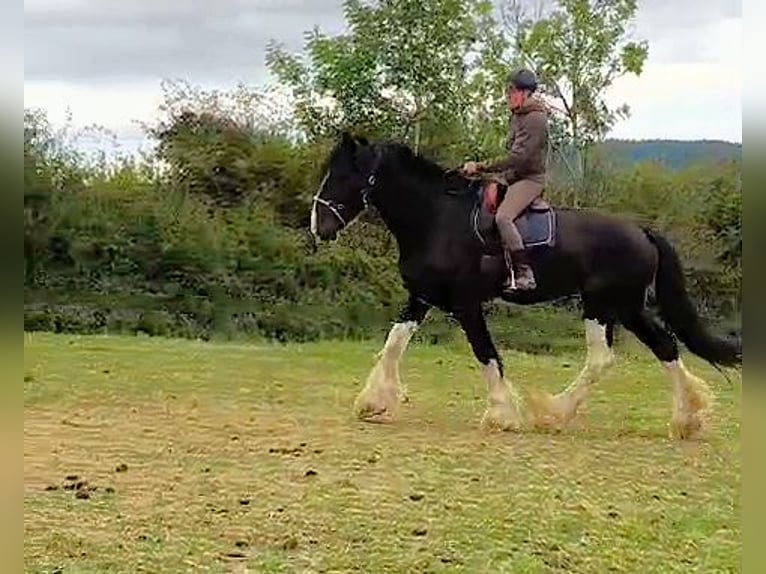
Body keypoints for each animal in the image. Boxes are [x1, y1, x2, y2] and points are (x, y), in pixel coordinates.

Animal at [309, 132, 741, 439]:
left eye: (344, 175)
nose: (318, 225)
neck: (437, 218)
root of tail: (642, 232)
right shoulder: (423, 296)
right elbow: (393, 344)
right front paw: (373, 403)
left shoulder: (466, 303)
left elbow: (486, 354)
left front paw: (502, 414)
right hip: (626, 308)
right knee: (665, 346)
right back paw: (687, 419)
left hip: (603, 305)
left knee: (604, 359)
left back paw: (553, 413)